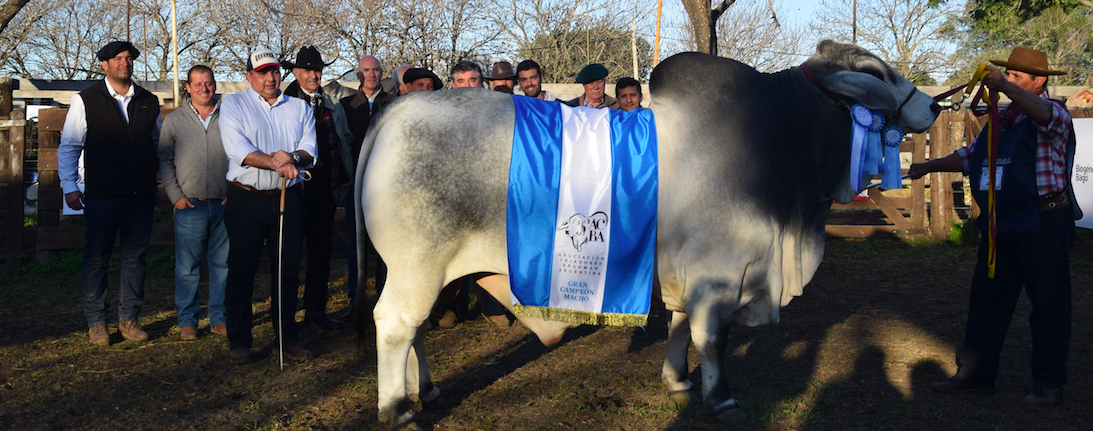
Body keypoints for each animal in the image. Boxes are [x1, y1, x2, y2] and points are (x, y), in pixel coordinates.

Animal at [354, 39, 944, 426]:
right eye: (874, 71)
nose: (933, 105)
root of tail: (397, 111)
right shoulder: (719, 272)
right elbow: (712, 337)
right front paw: (720, 398)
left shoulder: (689, 275)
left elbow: (681, 326)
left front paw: (677, 382)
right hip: (417, 266)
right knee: (395, 324)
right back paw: (397, 409)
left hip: (427, 271)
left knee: (416, 329)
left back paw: (427, 392)